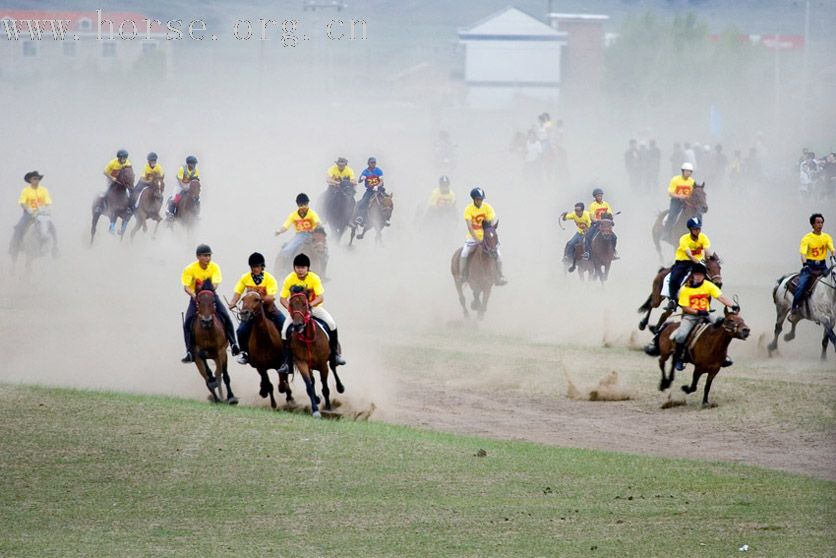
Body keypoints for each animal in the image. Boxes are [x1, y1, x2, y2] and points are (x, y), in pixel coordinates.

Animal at [284, 290, 342, 418]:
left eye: (304, 304)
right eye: (291, 305)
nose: (298, 325)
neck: (307, 338)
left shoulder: (323, 365)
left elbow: (325, 387)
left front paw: (328, 407)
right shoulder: (301, 363)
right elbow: (309, 386)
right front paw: (315, 409)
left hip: (330, 358)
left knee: (333, 367)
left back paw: (340, 387)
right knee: (313, 380)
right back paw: (317, 399)